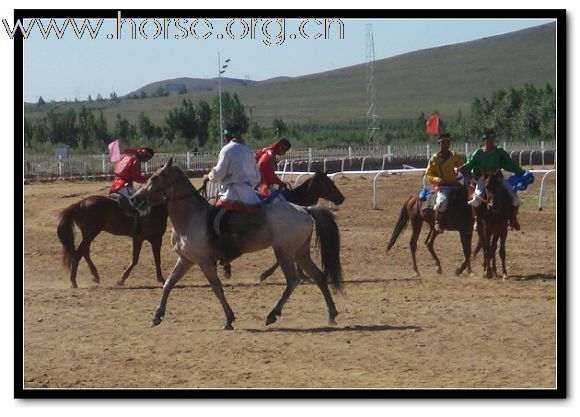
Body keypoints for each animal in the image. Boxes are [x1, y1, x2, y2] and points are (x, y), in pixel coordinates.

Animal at [134, 158, 342, 330]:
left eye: (153, 177)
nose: (135, 199)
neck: (190, 216)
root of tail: (304, 210)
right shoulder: (186, 259)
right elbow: (168, 284)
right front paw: (157, 315)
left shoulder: (204, 261)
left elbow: (217, 288)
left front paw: (229, 319)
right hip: (299, 253)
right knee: (319, 276)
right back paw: (331, 314)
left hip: (284, 252)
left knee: (293, 280)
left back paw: (272, 314)